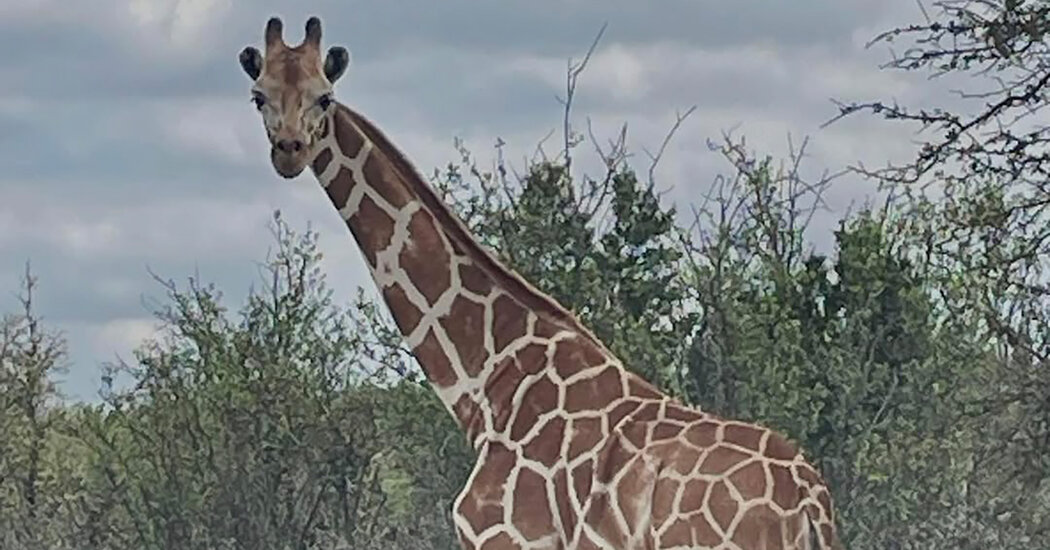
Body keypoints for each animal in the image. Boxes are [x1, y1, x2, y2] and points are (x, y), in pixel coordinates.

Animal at [238, 16, 843, 550]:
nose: (289, 151)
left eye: (324, 98)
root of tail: (809, 502)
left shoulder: (504, 538)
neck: (488, 385)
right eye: (259, 96)